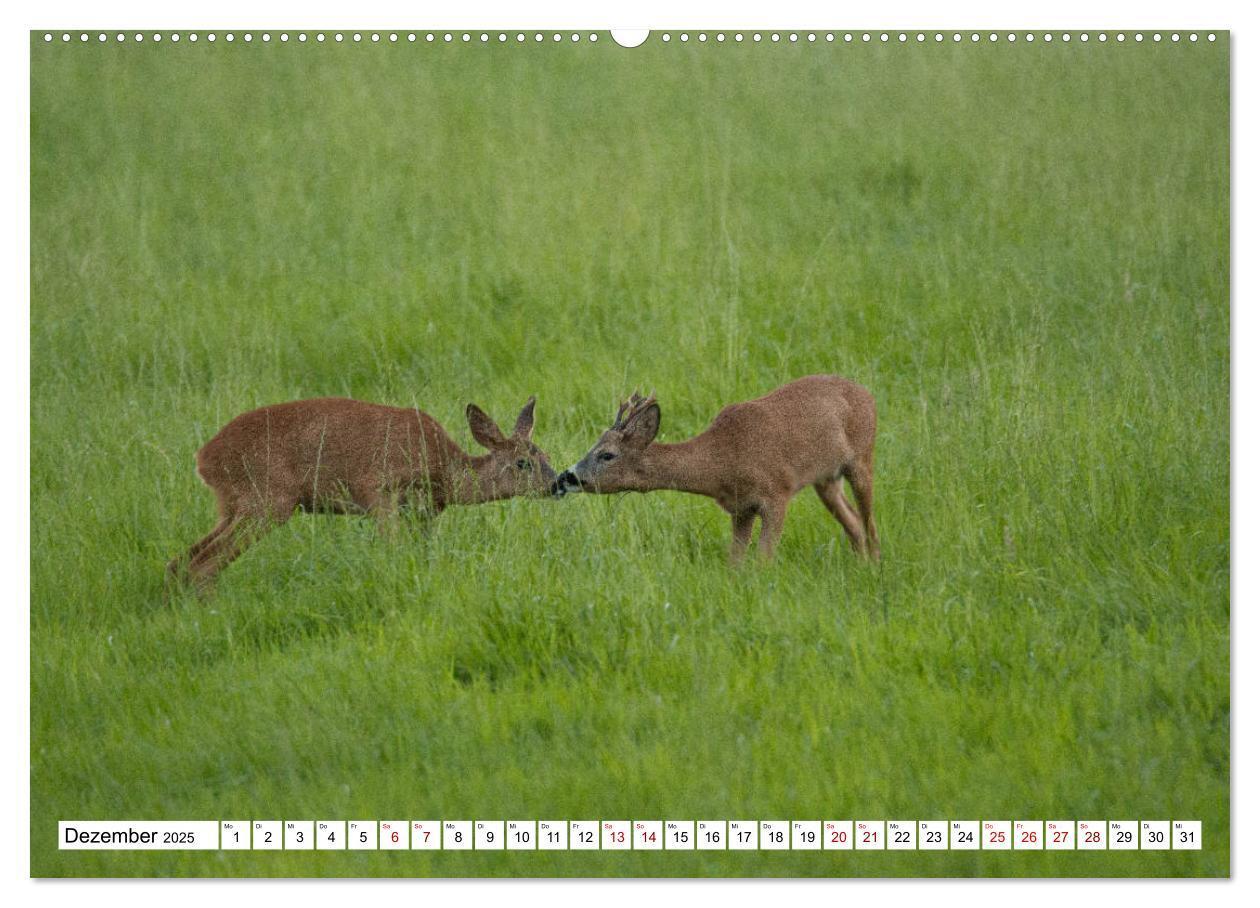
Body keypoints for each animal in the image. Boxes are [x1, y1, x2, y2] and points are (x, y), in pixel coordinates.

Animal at [168, 397, 556, 586]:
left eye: (547, 456)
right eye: (523, 463)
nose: (555, 483)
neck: (442, 471)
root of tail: (203, 460)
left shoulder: (424, 513)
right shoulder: (377, 491)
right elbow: (394, 551)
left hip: (233, 506)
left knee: (180, 561)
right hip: (267, 502)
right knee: (203, 564)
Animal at [556, 372, 882, 559]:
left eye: (607, 455)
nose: (566, 477)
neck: (723, 463)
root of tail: (868, 394)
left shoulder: (778, 492)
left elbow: (763, 557)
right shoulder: (741, 507)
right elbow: (735, 561)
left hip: (862, 457)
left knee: (869, 523)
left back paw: (874, 569)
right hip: (826, 479)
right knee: (853, 523)